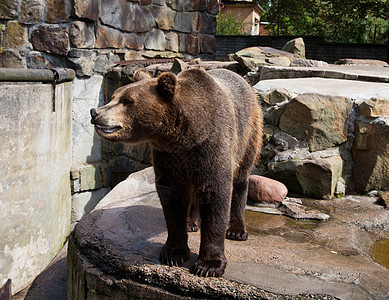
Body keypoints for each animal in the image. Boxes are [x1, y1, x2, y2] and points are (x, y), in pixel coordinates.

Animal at [89, 67, 262, 276]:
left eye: (127, 101)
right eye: (114, 96)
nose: (95, 112)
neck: (186, 136)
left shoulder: (213, 145)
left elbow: (216, 194)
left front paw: (209, 265)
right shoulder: (168, 157)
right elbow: (171, 199)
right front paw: (173, 253)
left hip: (249, 133)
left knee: (240, 179)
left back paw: (236, 229)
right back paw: (191, 222)